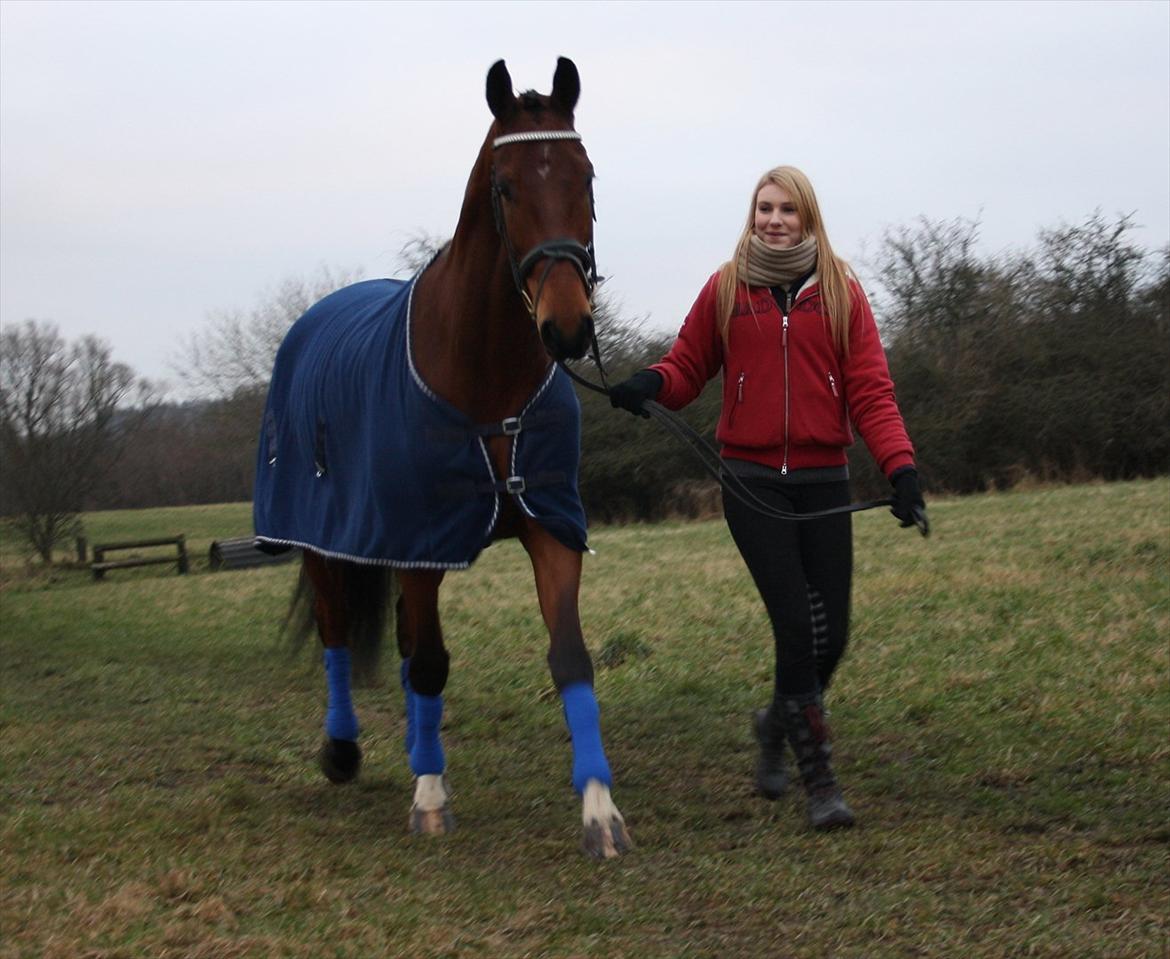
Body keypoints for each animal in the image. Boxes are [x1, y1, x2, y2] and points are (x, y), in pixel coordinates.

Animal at [255, 56, 631, 856]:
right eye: (505, 185)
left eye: (585, 176)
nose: (568, 327)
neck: (485, 377)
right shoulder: (418, 539)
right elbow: (429, 663)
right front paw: (430, 795)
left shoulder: (550, 528)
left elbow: (570, 657)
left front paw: (599, 808)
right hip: (327, 541)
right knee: (339, 633)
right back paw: (345, 751)